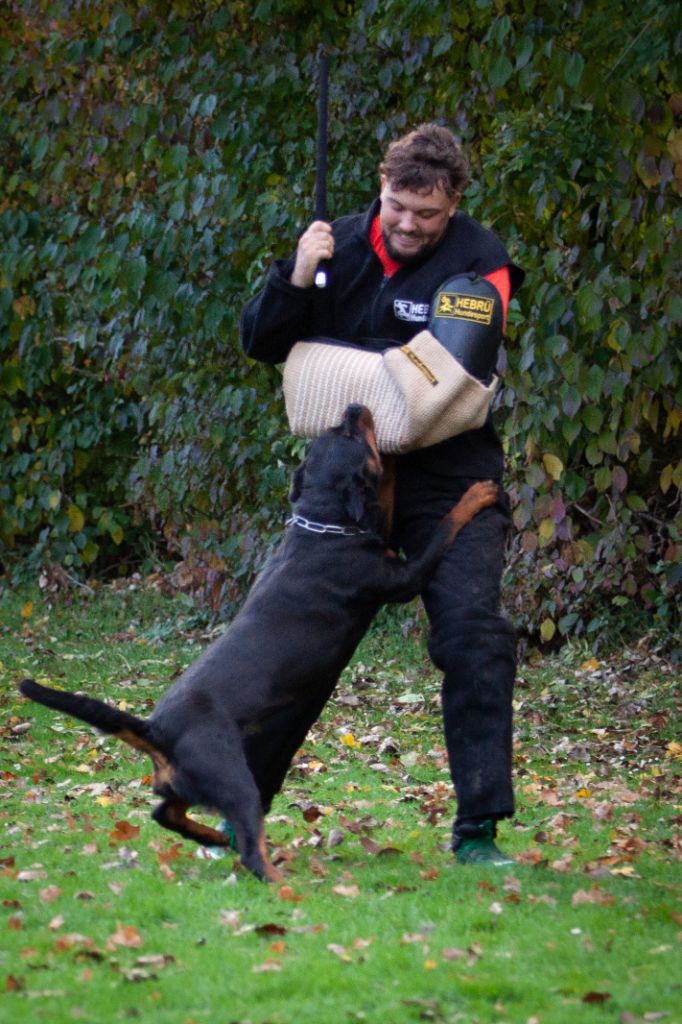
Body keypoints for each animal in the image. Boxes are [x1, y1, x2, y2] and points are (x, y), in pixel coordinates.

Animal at [19, 403, 493, 884]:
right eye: (349, 435)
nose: (354, 407)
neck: (325, 527)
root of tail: (158, 731)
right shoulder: (401, 578)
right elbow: (443, 529)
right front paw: (477, 494)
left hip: (190, 784)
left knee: (166, 814)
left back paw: (212, 837)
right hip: (234, 779)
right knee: (248, 849)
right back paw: (283, 883)